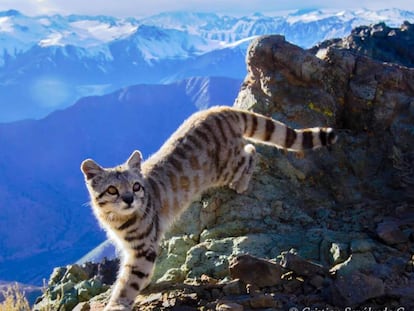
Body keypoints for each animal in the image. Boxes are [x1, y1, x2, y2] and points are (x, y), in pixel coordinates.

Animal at [81, 106, 336, 310]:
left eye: (136, 186)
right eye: (112, 189)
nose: (128, 199)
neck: (117, 223)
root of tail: (221, 110)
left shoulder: (143, 248)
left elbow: (130, 279)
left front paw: (117, 303)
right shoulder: (129, 247)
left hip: (225, 166)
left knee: (250, 152)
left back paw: (240, 183)